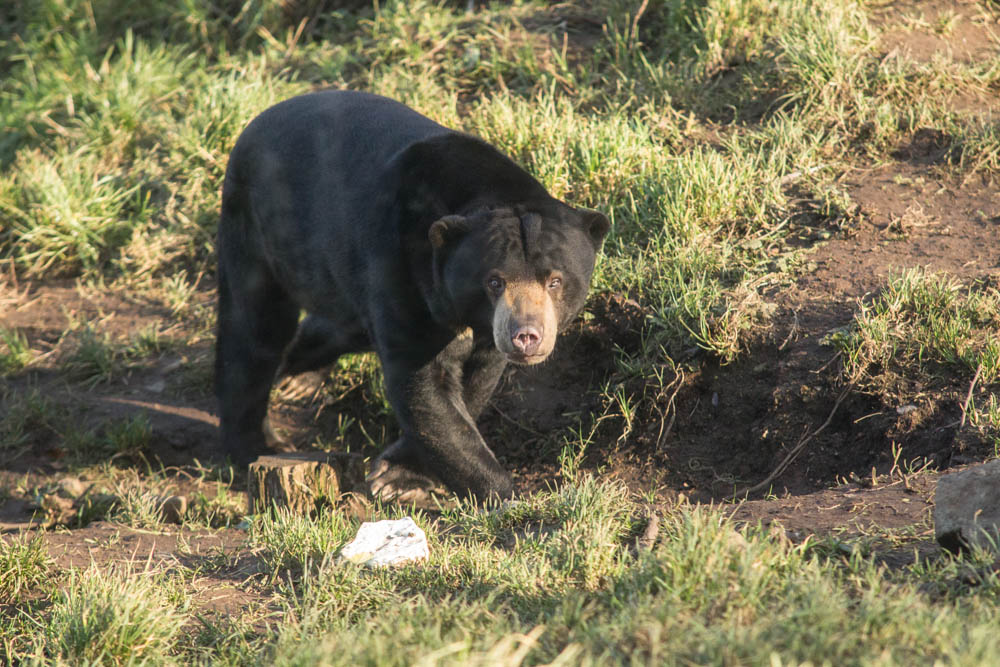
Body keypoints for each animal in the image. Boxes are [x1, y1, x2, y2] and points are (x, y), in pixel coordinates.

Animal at [216, 90, 608, 500]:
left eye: (555, 281)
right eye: (494, 282)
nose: (526, 335)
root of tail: (259, 119)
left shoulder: (484, 330)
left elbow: (474, 382)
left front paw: (401, 476)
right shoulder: (401, 269)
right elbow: (423, 382)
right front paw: (503, 493)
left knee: (338, 324)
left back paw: (297, 377)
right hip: (257, 227)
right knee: (254, 329)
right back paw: (255, 445)